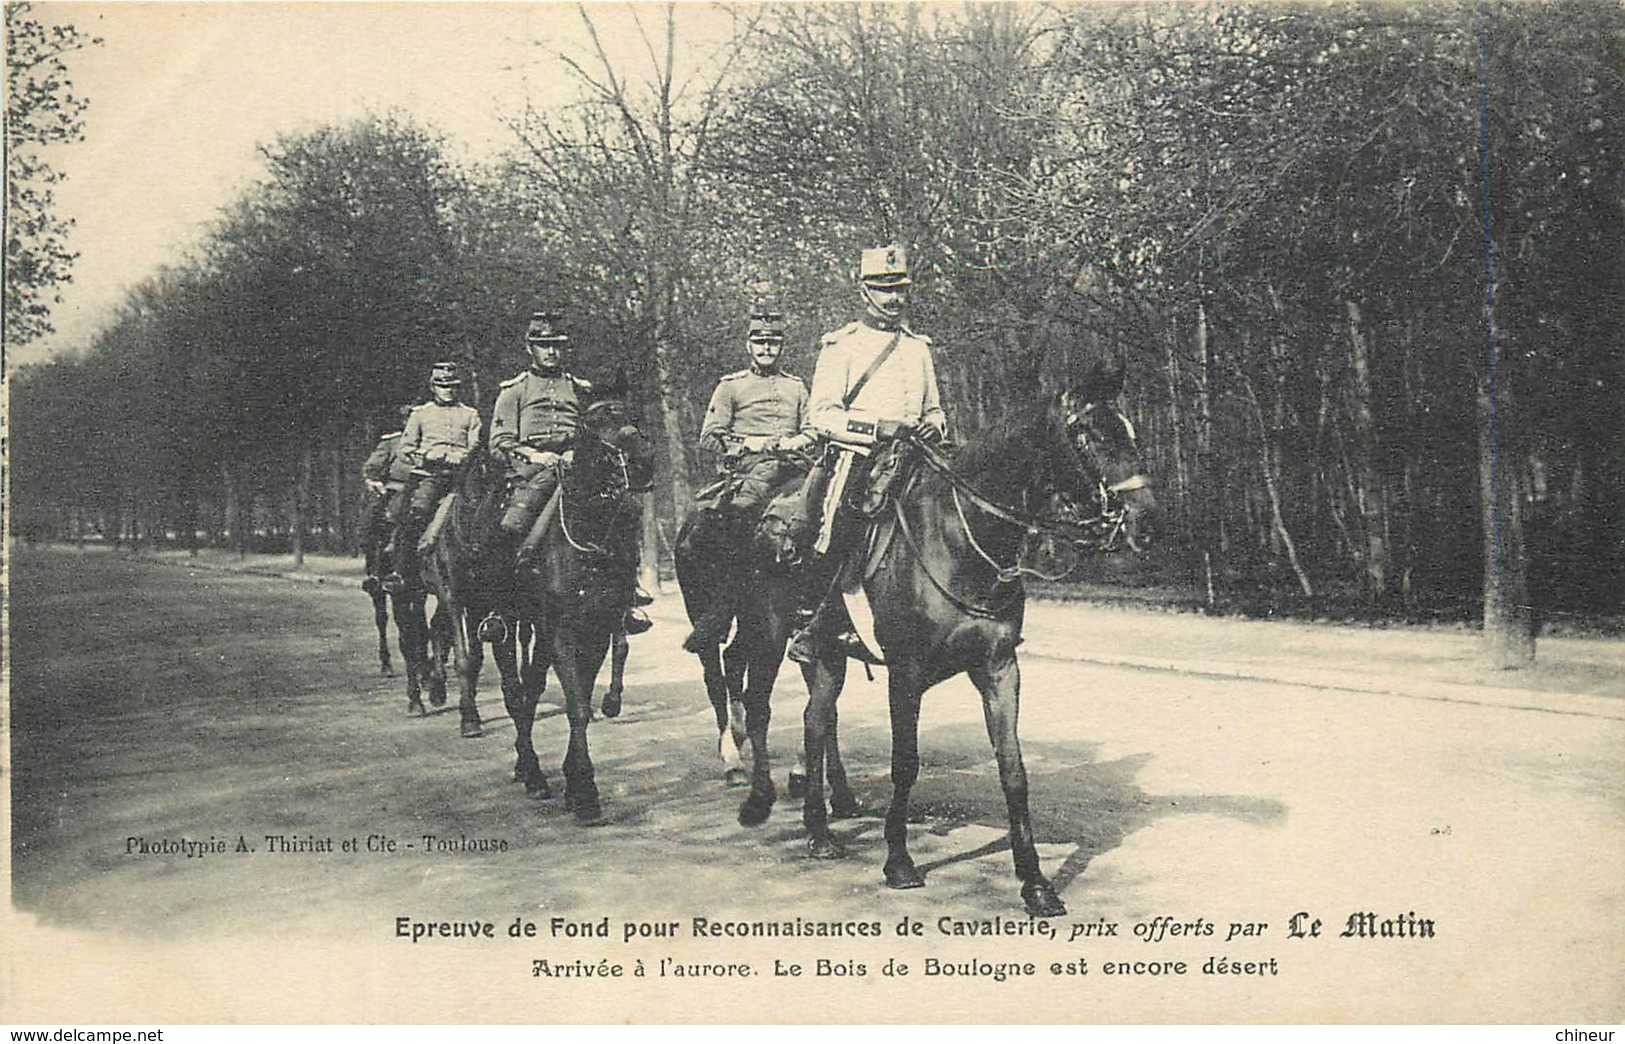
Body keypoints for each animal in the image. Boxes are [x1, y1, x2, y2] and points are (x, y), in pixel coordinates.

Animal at [793, 361, 1150, 917]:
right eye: (1091, 435)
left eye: (1130, 431)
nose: (1146, 519)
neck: (958, 539)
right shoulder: (906, 674)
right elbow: (905, 765)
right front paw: (899, 862)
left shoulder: (999, 668)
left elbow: (1013, 770)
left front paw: (1036, 884)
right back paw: (815, 830)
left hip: (832, 655)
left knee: (816, 720)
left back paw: (823, 825)